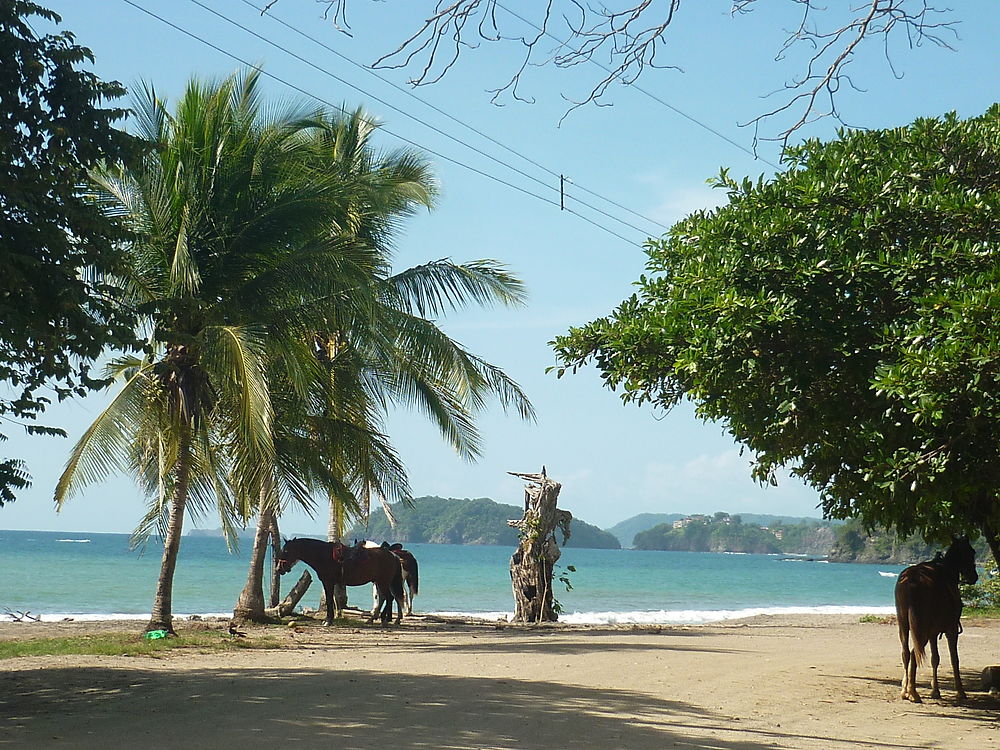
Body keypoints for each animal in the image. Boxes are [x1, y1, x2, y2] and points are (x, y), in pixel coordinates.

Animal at [276, 536, 404, 624]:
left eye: (286, 551)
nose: (278, 569)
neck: (323, 556)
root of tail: (393, 555)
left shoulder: (328, 582)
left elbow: (329, 600)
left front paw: (328, 620)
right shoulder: (329, 583)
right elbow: (331, 600)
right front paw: (329, 619)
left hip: (383, 582)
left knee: (389, 598)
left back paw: (384, 619)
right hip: (380, 582)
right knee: (386, 598)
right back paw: (377, 619)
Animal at [896, 540, 980, 704]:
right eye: (971, 551)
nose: (974, 576)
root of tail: (911, 580)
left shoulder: (933, 633)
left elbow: (935, 659)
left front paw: (935, 690)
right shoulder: (951, 630)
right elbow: (954, 659)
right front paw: (960, 691)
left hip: (904, 626)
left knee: (906, 653)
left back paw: (905, 691)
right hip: (920, 629)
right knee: (914, 653)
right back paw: (913, 692)